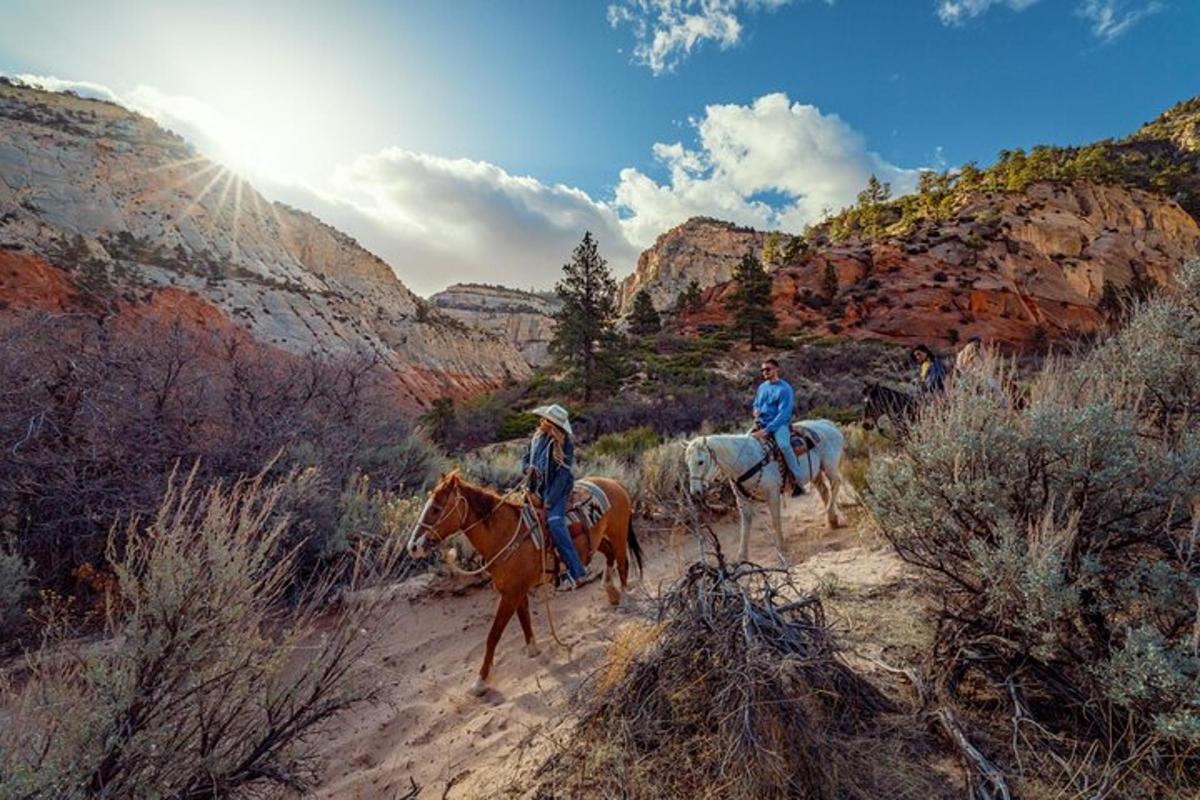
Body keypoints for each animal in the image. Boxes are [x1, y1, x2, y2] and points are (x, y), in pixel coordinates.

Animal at [405, 470, 648, 695]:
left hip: (618, 533)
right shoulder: (516, 591)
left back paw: (624, 598)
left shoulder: (511, 594)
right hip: (597, 540)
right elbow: (524, 619)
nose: (413, 547)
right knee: (609, 555)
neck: (506, 533)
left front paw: (480, 681)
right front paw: (533, 650)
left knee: (623, 562)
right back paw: (610, 591)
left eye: (436, 508)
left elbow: (493, 635)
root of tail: (614, 483)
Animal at [691, 422, 849, 566]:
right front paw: (741, 557)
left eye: (700, 462)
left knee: (835, 484)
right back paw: (832, 520)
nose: (695, 492)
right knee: (824, 491)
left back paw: (828, 514)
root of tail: (830, 425)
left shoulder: (772, 493)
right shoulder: (742, 500)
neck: (746, 460)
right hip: (816, 473)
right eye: (688, 463)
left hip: (829, 466)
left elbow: (775, 520)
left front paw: (781, 547)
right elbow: (745, 527)